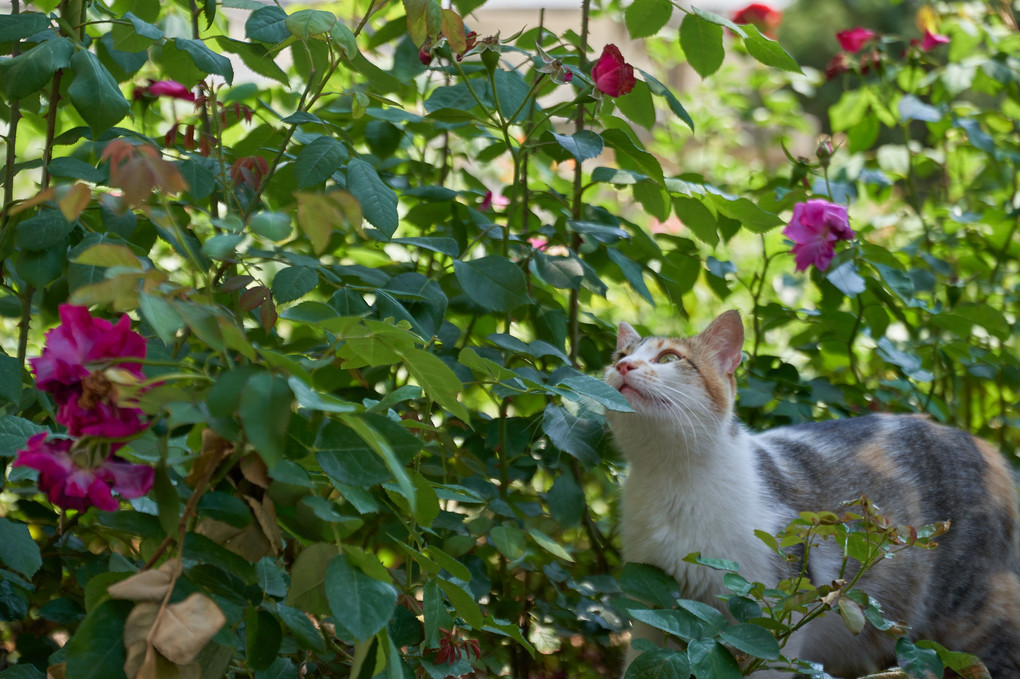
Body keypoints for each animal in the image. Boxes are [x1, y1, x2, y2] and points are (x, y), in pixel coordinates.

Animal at [599, 309, 1020, 672]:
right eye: (619, 355)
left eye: (669, 357)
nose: (623, 366)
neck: (669, 477)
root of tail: (989, 450)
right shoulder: (652, 609)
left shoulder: (770, 618)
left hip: (977, 616)